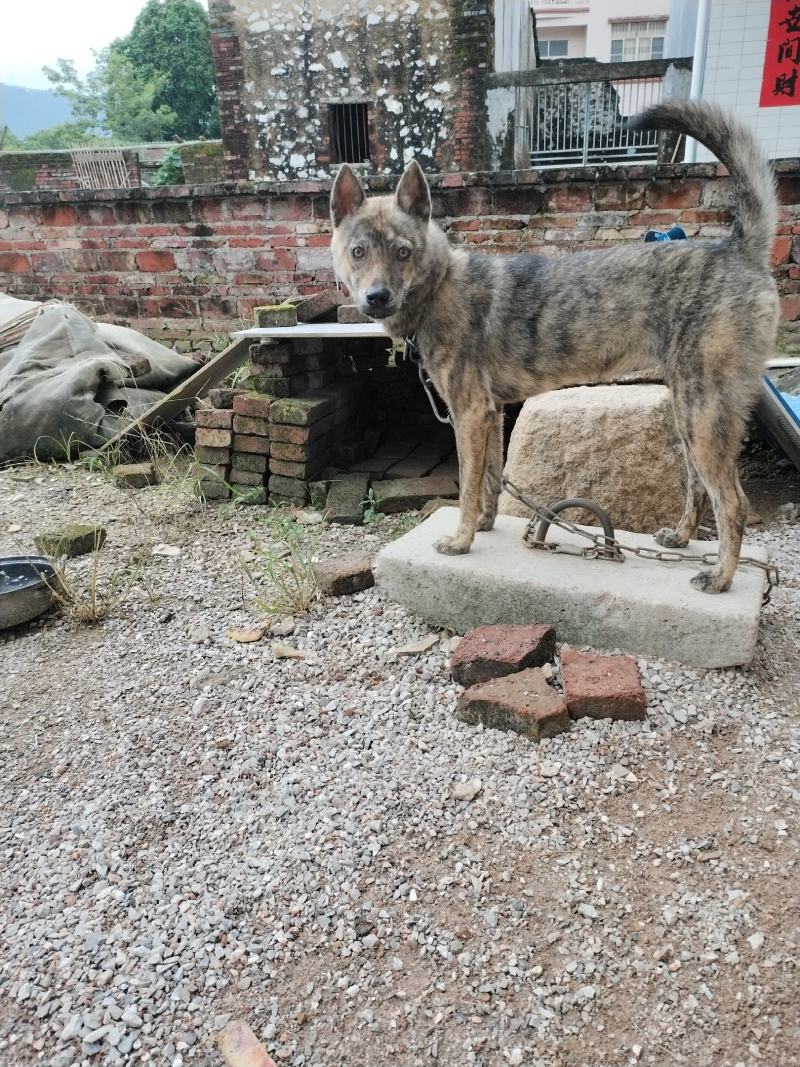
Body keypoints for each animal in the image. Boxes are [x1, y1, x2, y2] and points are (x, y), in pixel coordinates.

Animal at [328, 104, 780, 593]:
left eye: (403, 252)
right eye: (358, 252)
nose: (376, 297)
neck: (439, 285)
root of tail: (738, 249)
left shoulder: (469, 413)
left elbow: (467, 485)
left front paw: (461, 540)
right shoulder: (491, 414)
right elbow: (490, 480)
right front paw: (484, 525)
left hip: (703, 415)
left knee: (732, 502)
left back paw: (720, 577)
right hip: (689, 414)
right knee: (699, 488)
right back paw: (680, 538)